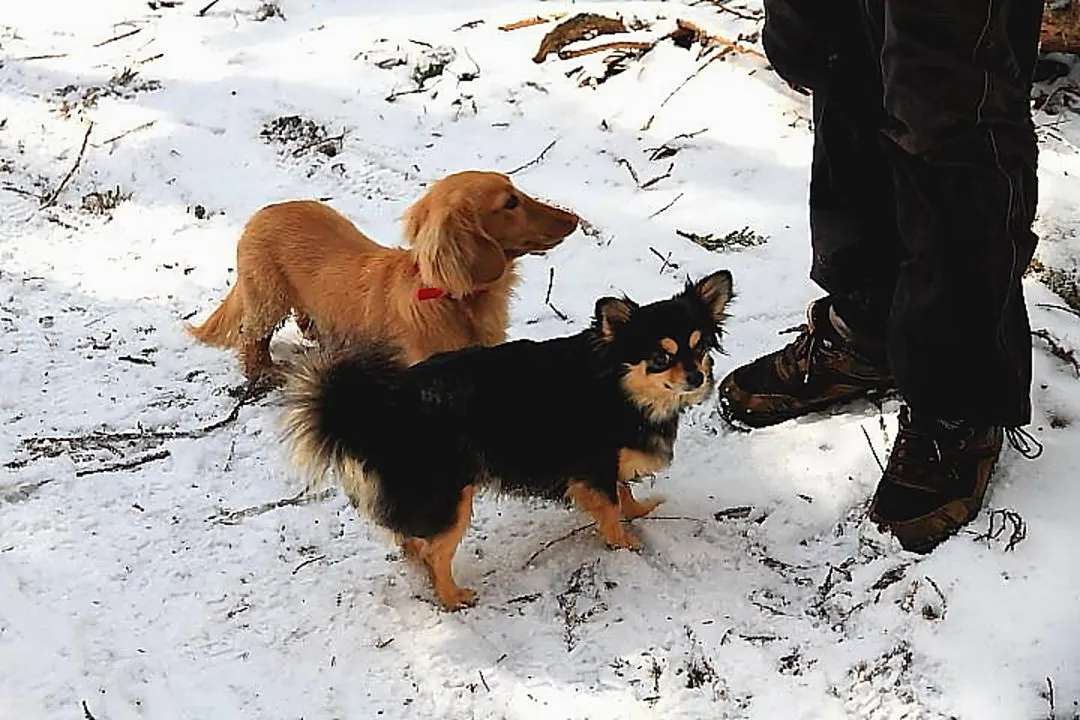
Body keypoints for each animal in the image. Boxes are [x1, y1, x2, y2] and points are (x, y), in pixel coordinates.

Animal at [183, 171, 583, 379]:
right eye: (510, 202)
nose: (575, 218)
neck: (450, 298)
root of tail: (262, 213)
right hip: (266, 298)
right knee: (252, 336)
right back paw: (263, 371)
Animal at [278, 268, 734, 608]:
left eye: (700, 348)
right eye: (660, 358)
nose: (697, 377)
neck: (618, 385)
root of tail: (373, 411)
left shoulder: (608, 461)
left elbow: (623, 491)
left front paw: (640, 510)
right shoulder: (594, 463)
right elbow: (608, 506)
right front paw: (624, 541)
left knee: (412, 542)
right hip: (451, 500)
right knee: (435, 552)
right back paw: (452, 597)